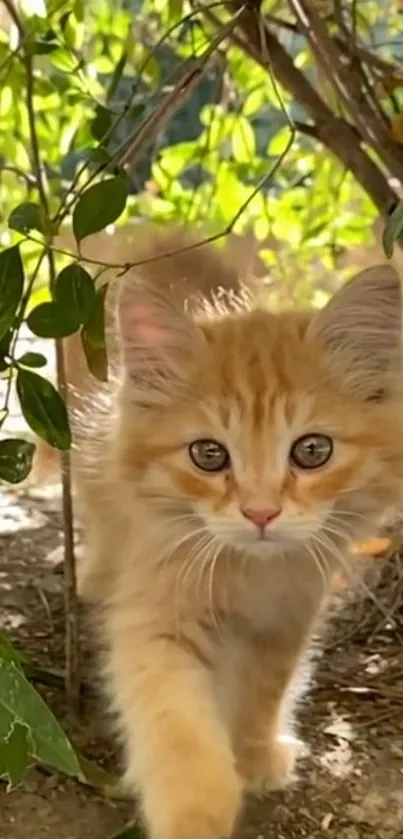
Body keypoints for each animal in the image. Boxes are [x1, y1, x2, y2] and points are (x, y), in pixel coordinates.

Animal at [73, 228, 403, 839]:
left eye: (312, 450)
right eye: (209, 455)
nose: (261, 512)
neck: (250, 575)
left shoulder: (290, 615)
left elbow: (263, 693)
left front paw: (254, 755)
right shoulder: (157, 612)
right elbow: (178, 729)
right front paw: (196, 816)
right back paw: (96, 575)